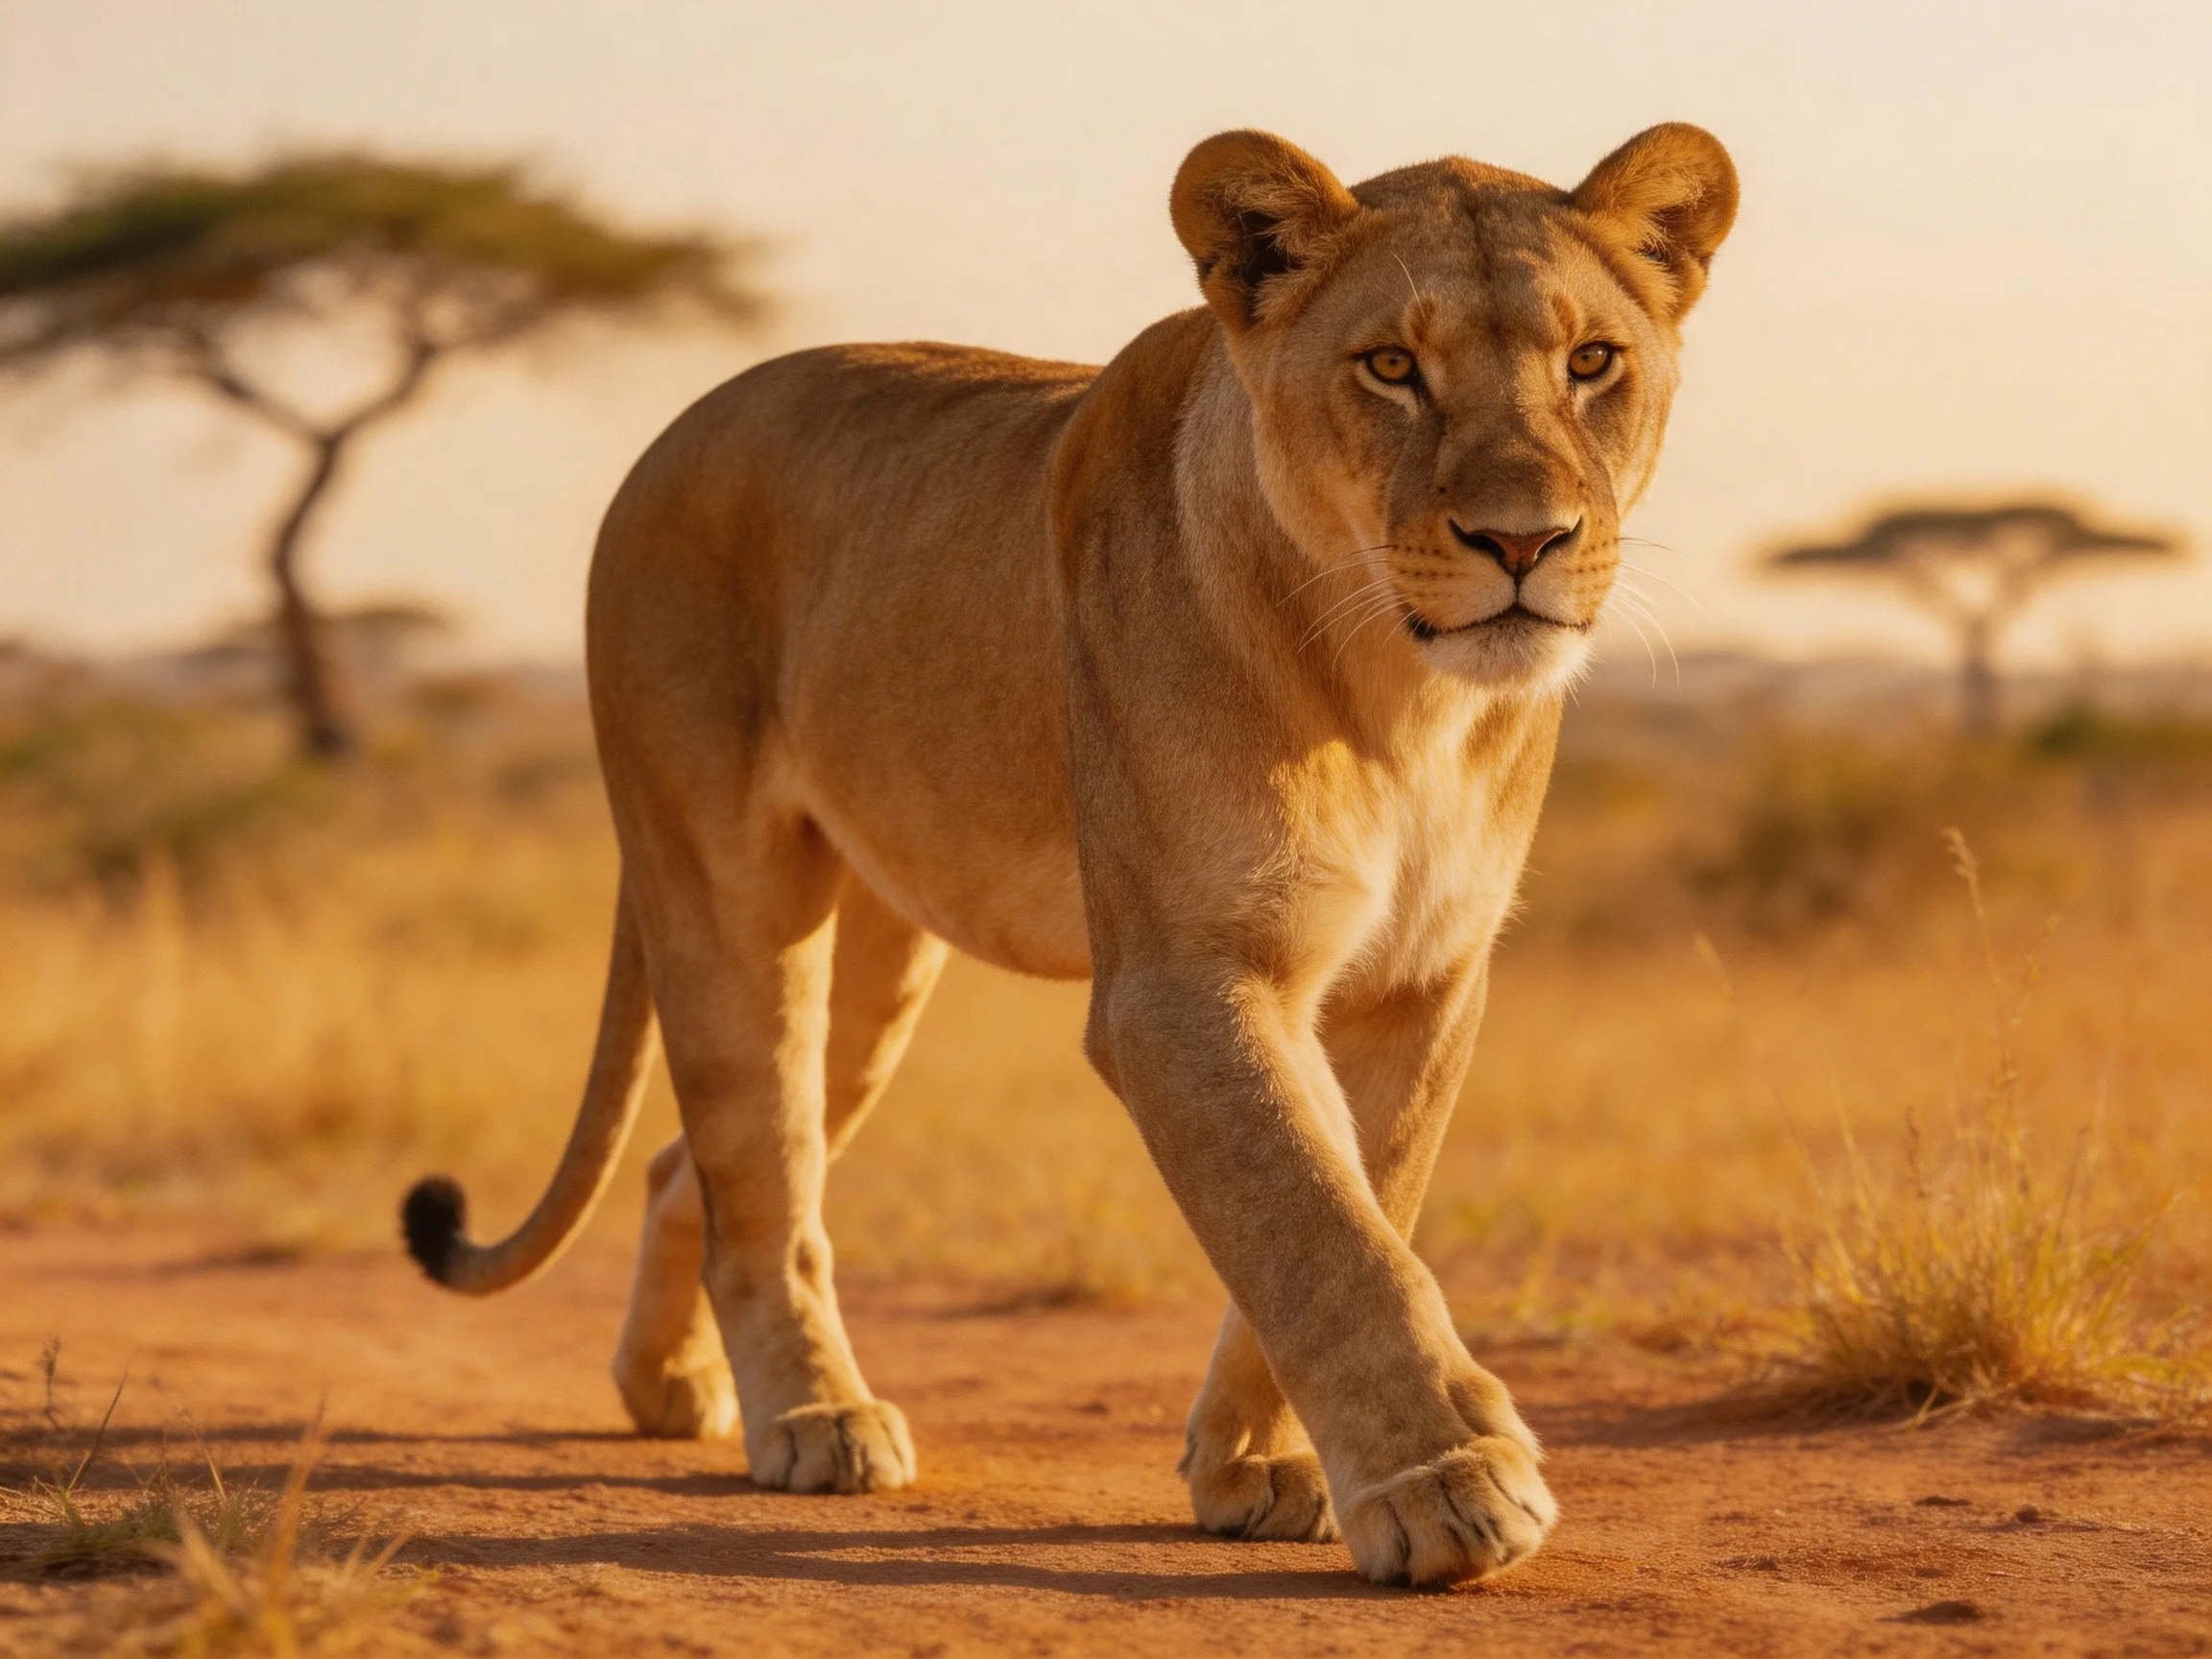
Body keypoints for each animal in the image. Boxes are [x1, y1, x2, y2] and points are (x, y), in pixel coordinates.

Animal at [402, 122, 1736, 1588]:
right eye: (1392, 366)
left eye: (1591, 362)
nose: (1523, 542)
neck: (1399, 696)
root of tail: (676, 431)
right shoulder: (1181, 982)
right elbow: (1318, 1228)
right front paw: (1446, 1486)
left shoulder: (1421, 981)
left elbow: (1359, 1197)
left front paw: (1255, 1463)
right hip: (722, 885)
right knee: (760, 1158)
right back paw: (813, 1417)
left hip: (876, 964)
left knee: (703, 1165)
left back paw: (671, 1387)